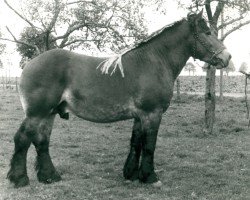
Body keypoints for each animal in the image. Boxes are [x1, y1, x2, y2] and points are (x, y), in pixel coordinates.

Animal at [7, 11, 230, 188]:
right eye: (207, 33)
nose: (227, 57)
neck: (153, 61)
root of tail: (29, 64)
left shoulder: (140, 116)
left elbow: (136, 143)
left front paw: (131, 174)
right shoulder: (152, 113)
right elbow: (149, 145)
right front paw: (150, 177)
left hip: (50, 113)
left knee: (41, 141)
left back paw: (50, 176)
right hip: (37, 113)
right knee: (23, 139)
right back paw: (19, 179)